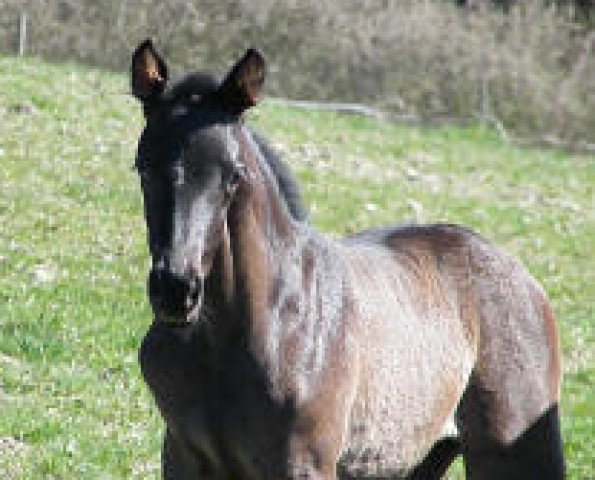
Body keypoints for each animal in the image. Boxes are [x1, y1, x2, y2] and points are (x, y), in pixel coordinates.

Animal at [129, 41, 564, 480]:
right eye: (143, 167)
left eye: (234, 176)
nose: (176, 289)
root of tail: (523, 278)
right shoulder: (183, 456)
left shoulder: (305, 462)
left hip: (517, 450)